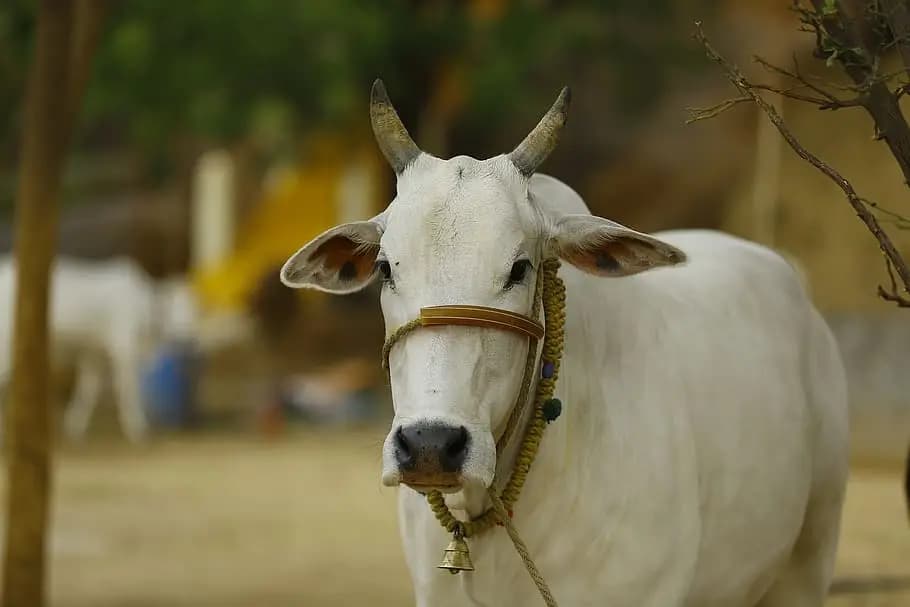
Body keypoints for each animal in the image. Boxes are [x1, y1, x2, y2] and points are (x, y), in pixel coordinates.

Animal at [0, 256, 198, 443]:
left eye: (194, 308)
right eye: (172, 307)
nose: (188, 336)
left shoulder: (94, 352)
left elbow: (88, 388)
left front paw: (75, 426)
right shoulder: (123, 349)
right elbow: (128, 389)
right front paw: (137, 428)